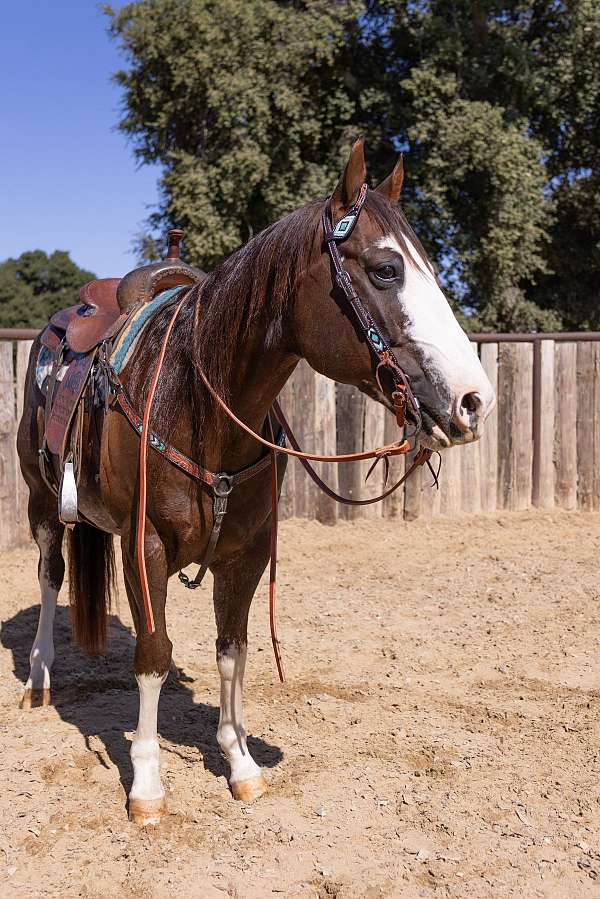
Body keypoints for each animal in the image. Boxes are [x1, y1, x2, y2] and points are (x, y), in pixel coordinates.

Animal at [16, 142, 494, 828]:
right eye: (384, 270)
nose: (473, 400)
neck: (197, 403)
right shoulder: (145, 549)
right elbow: (154, 654)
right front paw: (147, 785)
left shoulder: (246, 553)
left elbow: (232, 650)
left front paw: (239, 761)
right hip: (41, 501)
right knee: (51, 575)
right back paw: (39, 678)